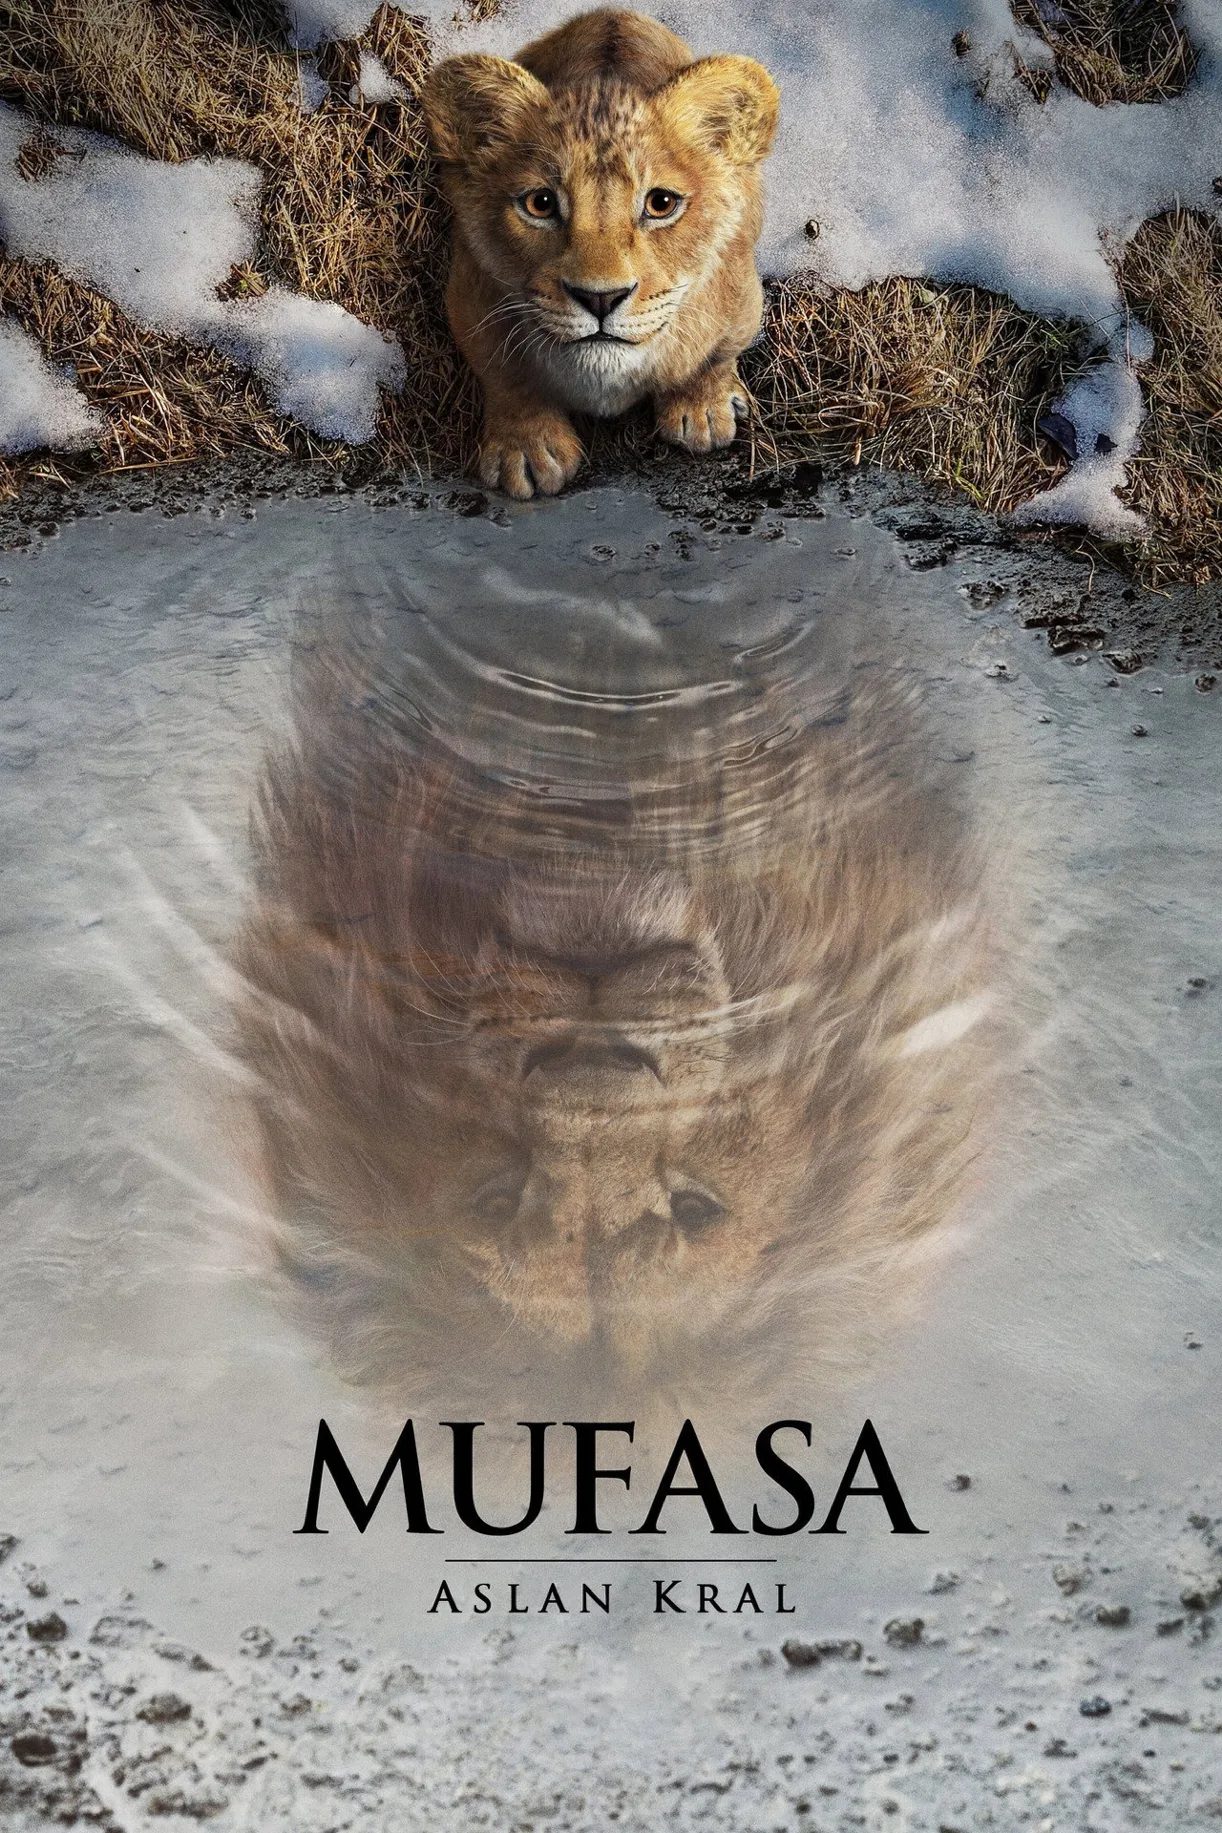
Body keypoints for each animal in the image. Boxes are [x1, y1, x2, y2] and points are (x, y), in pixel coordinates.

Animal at [422, 9, 780, 499]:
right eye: (540, 204)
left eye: (661, 203)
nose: (600, 298)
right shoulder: (469, 298)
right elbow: (506, 376)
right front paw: (527, 450)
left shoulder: (742, 297)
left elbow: (714, 356)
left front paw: (703, 410)